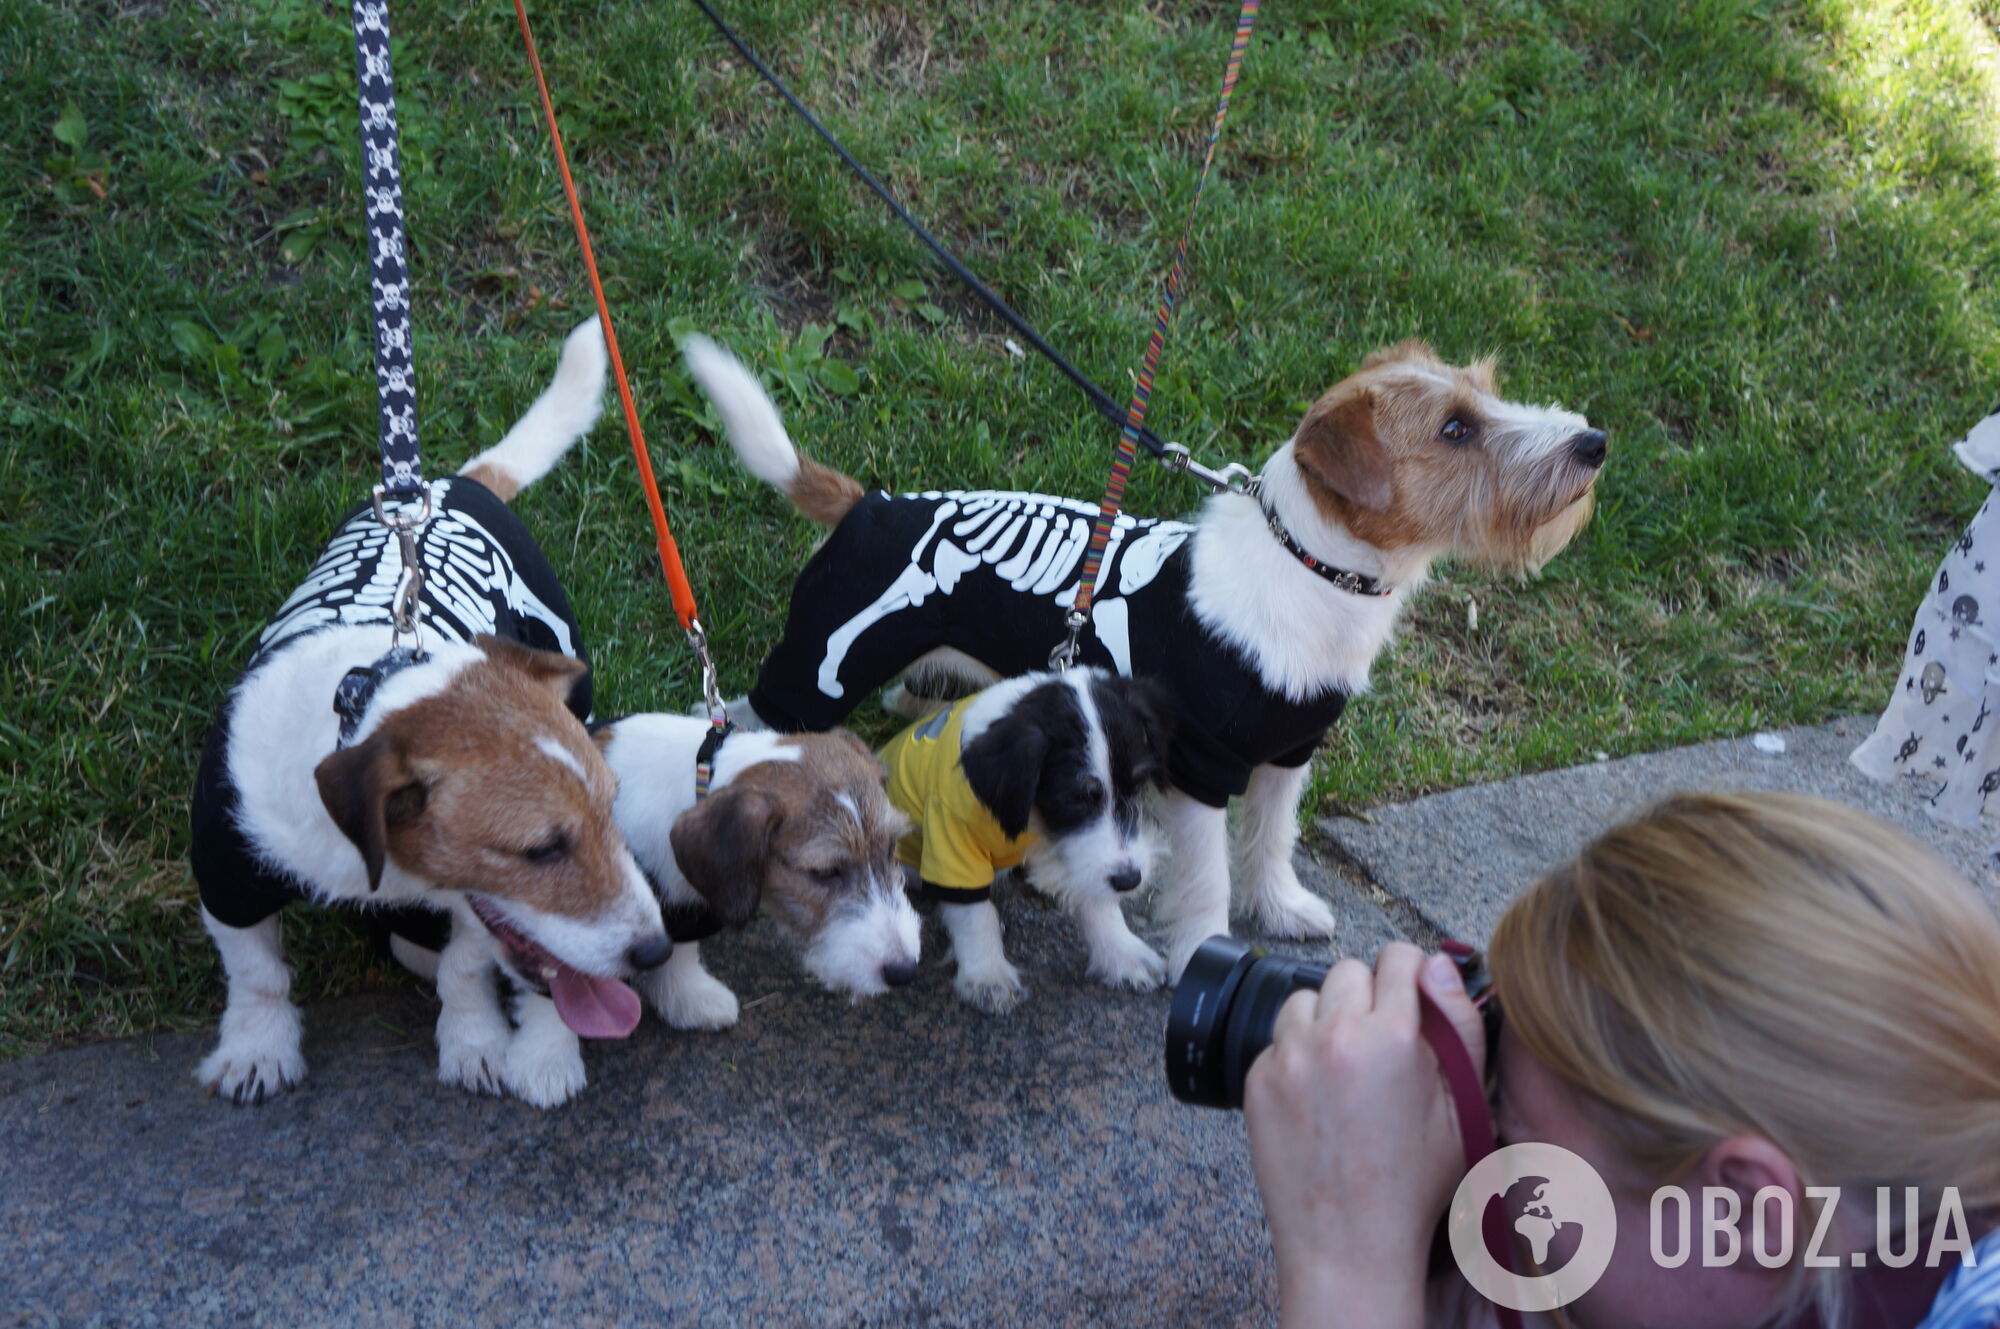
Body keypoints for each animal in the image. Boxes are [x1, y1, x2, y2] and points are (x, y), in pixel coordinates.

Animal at [188, 316, 672, 1104]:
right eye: (542, 849)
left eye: (612, 809)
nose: (657, 950)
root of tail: (460, 483)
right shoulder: (229, 871)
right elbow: (256, 972)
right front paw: (257, 1047)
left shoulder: (471, 905)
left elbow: (466, 970)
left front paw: (474, 1041)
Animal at [680, 332, 1600, 976]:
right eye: (1456, 428)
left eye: (1487, 393)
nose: (1593, 441)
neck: (1312, 570)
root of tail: (868, 502)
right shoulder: (1200, 764)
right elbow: (1209, 875)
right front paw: (1206, 951)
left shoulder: (1289, 752)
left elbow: (1271, 839)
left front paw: (1281, 907)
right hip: (815, 670)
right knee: (736, 719)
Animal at [884, 668, 1176, 1012]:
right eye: (1076, 799)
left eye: (1137, 787)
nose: (1130, 881)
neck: (1033, 818)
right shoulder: (951, 842)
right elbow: (974, 914)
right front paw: (987, 974)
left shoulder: (1077, 849)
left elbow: (1096, 894)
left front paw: (1122, 952)